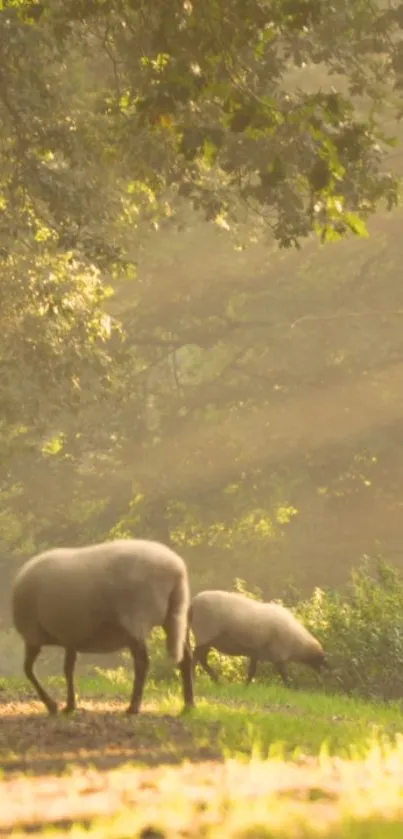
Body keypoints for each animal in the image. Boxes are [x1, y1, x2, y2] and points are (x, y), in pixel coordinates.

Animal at [11, 540, 195, 716]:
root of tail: (176, 569)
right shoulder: (71, 636)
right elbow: (68, 669)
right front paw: (70, 706)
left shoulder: (33, 635)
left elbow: (28, 669)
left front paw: (53, 706)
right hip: (176, 613)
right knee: (186, 658)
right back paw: (188, 705)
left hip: (136, 618)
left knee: (142, 662)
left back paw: (133, 707)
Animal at [190, 592, 328, 688]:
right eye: (320, 660)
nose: (324, 674)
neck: (298, 644)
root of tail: (193, 602)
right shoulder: (279, 655)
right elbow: (284, 674)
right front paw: (291, 688)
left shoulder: (256, 652)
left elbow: (252, 671)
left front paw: (246, 686)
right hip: (204, 635)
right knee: (196, 658)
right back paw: (196, 679)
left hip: (207, 639)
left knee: (201, 659)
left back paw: (217, 681)